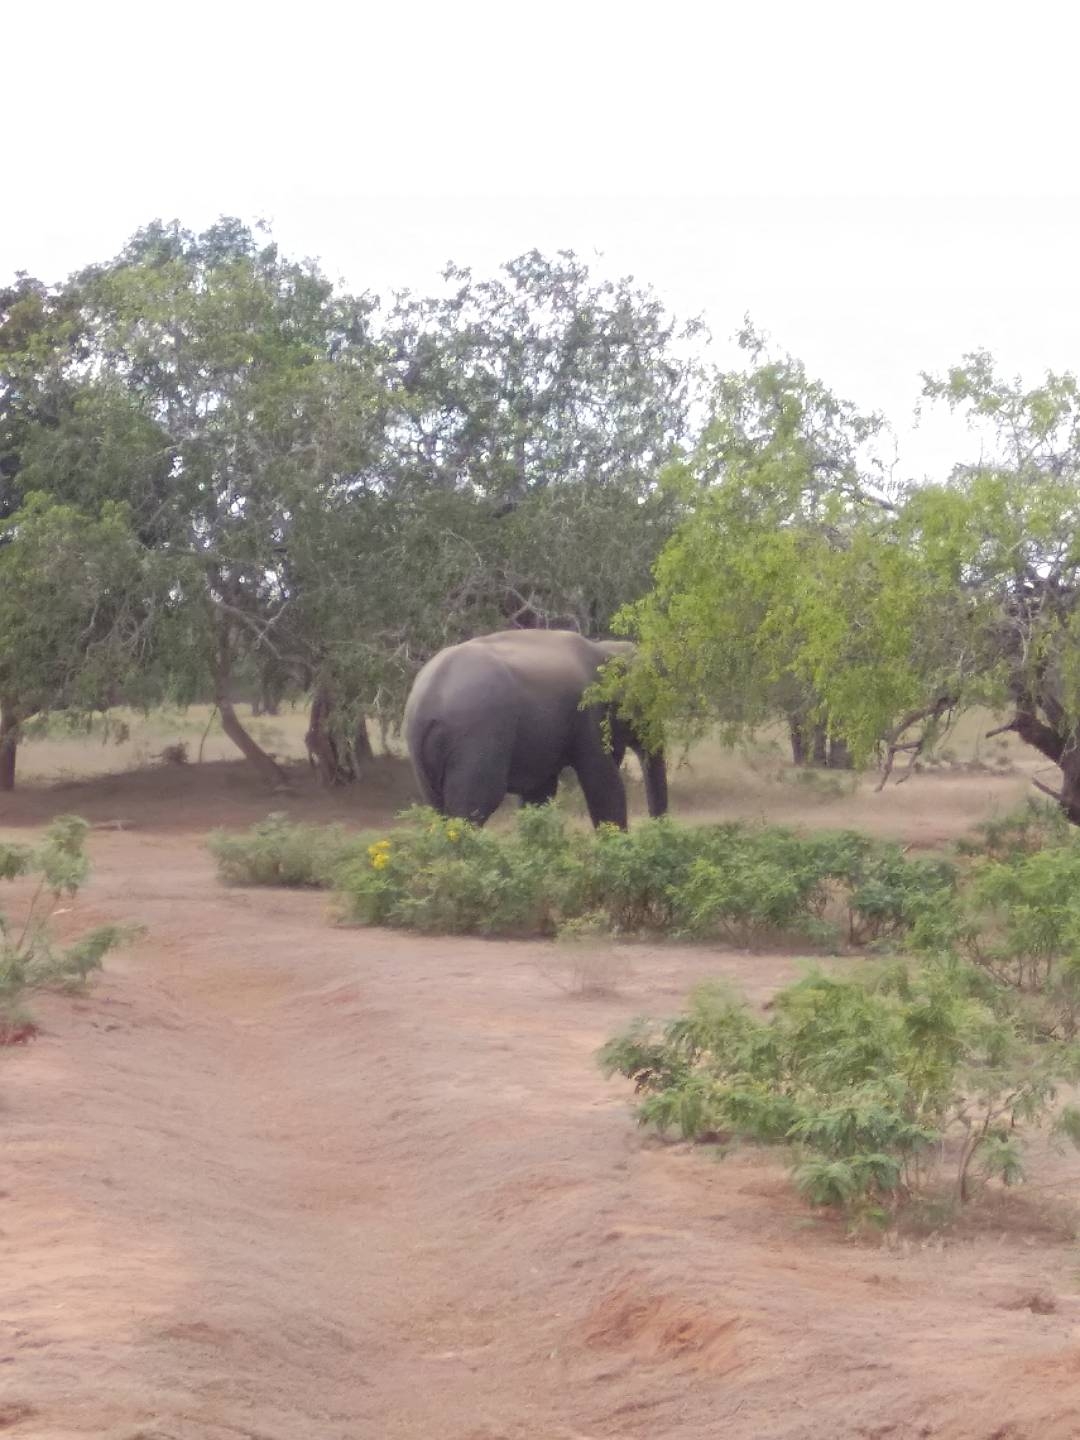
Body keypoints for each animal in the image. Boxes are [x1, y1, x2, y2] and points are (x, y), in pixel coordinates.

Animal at [406, 627, 668, 829]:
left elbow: (539, 793)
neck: (605, 649)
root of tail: (427, 703)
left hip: (422, 756)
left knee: (438, 807)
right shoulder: (588, 715)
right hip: (476, 739)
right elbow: (603, 782)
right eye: (647, 702)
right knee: (473, 807)